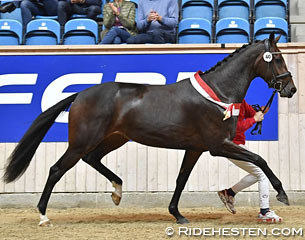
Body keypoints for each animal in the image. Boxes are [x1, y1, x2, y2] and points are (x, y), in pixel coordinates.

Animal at [3, 33, 296, 225]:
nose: (291, 89)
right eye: (277, 60)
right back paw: (43, 215)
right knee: (57, 170)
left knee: (92, 159)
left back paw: (117, 191)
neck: (218, 93)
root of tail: (80, 94)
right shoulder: (218, 145)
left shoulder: (196, 148)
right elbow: (261, 159)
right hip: (82, 141)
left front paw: (177, 214)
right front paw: (282, 194)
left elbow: (181, 179)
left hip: (114, 138)